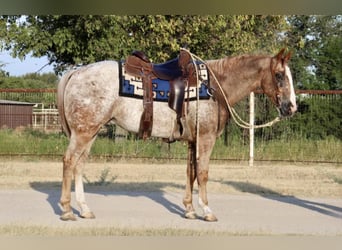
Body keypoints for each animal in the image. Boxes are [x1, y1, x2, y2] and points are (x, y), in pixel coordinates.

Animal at [57, 47, 296, 222]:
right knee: (69, 161)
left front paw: (189, 209)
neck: (216, 87)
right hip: (83, 132)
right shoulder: (206, 139)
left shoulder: (193, 141)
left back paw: (84, 209)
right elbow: (203, 173)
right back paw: (67, 210)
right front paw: (206, 211)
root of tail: (76, 72)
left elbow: (190, 172)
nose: (291, 107)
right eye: (279, 75)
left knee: (79, 165)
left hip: (91, 132)